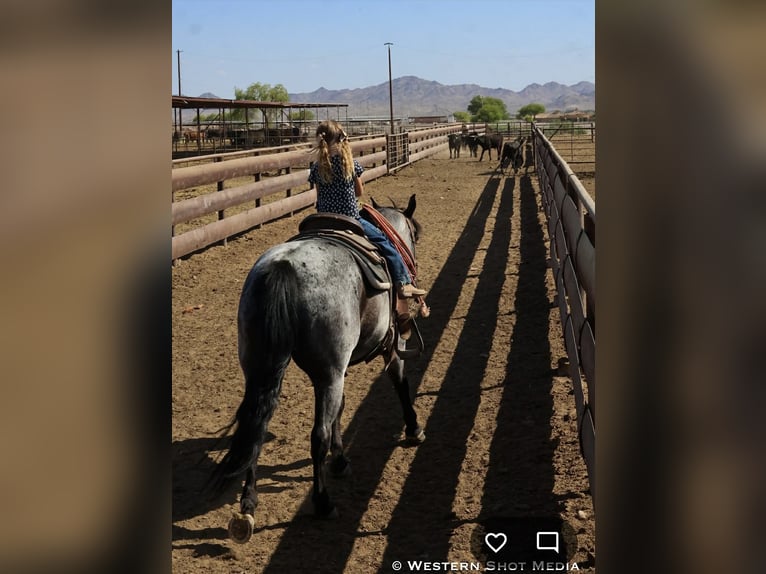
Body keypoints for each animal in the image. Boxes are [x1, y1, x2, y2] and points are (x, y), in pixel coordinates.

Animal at [207, 194, 426, 543]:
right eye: (415, 236)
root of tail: (283, 268)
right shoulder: (386, 346)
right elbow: (399, 382)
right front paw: (413, 428)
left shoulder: (338, 369)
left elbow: (340, 409)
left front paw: (340, 459)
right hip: (328, 373)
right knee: (317, 435)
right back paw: (323, 502)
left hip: (263, 369)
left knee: (257, 425)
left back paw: (248, 504)